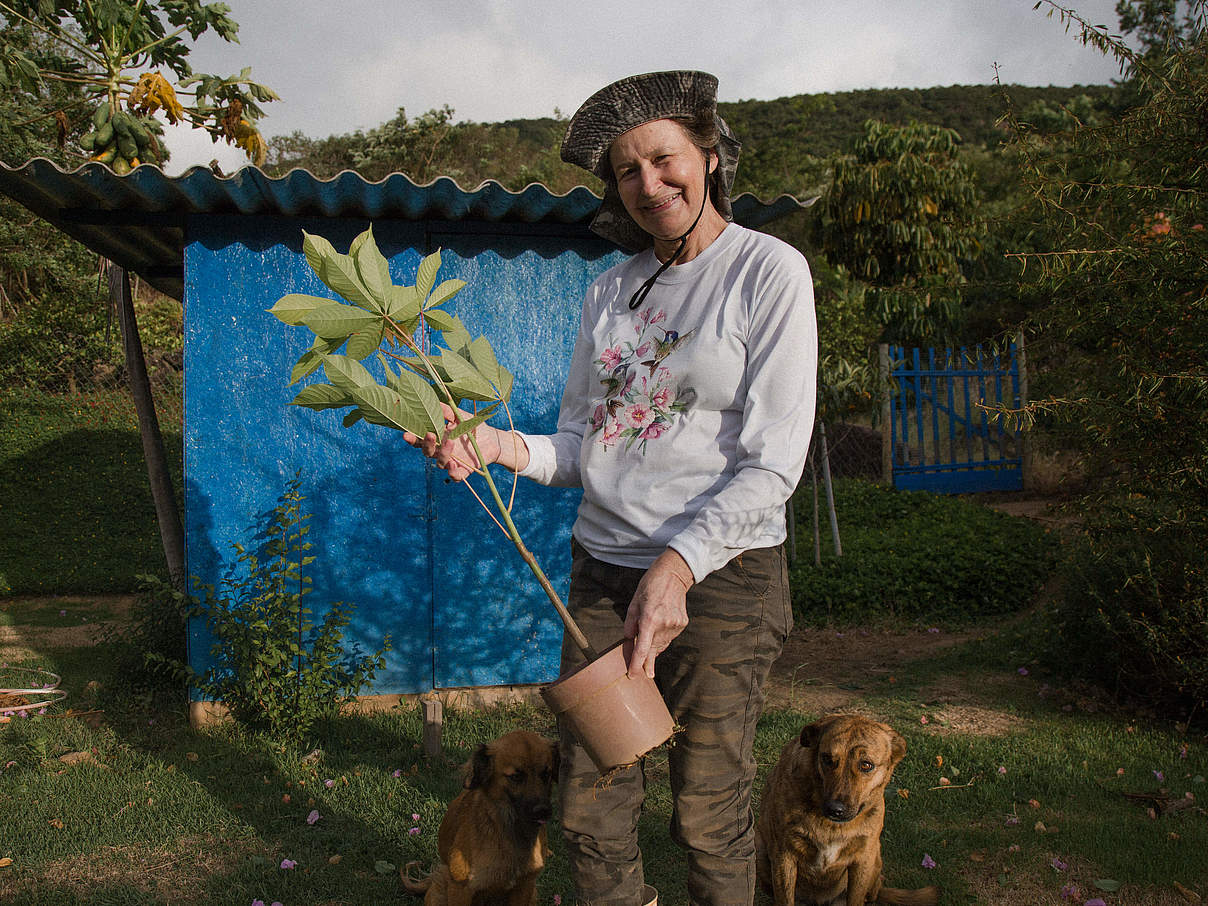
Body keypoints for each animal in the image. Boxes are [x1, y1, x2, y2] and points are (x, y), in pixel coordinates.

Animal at [753, 715, 942, 906]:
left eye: (866, 765)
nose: (835, 809)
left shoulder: (862, 860)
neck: (831, 825)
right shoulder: (784, 855)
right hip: (759, 851)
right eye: (827, 759)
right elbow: (785, 898)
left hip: (875, 859)